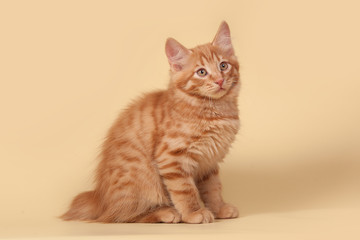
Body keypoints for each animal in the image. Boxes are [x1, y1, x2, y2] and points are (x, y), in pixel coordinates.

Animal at [62, 21, 240, 224]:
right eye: (201, 72)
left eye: (223, 65)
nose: (219, 80)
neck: (215, 109)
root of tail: (100, 199)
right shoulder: (171, 157)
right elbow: (185, 191)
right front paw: (194, 213)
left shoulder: (209, 163)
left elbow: (213, 189)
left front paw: (219, 209)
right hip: (142, 181)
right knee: (124, 216)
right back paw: (166, 213)